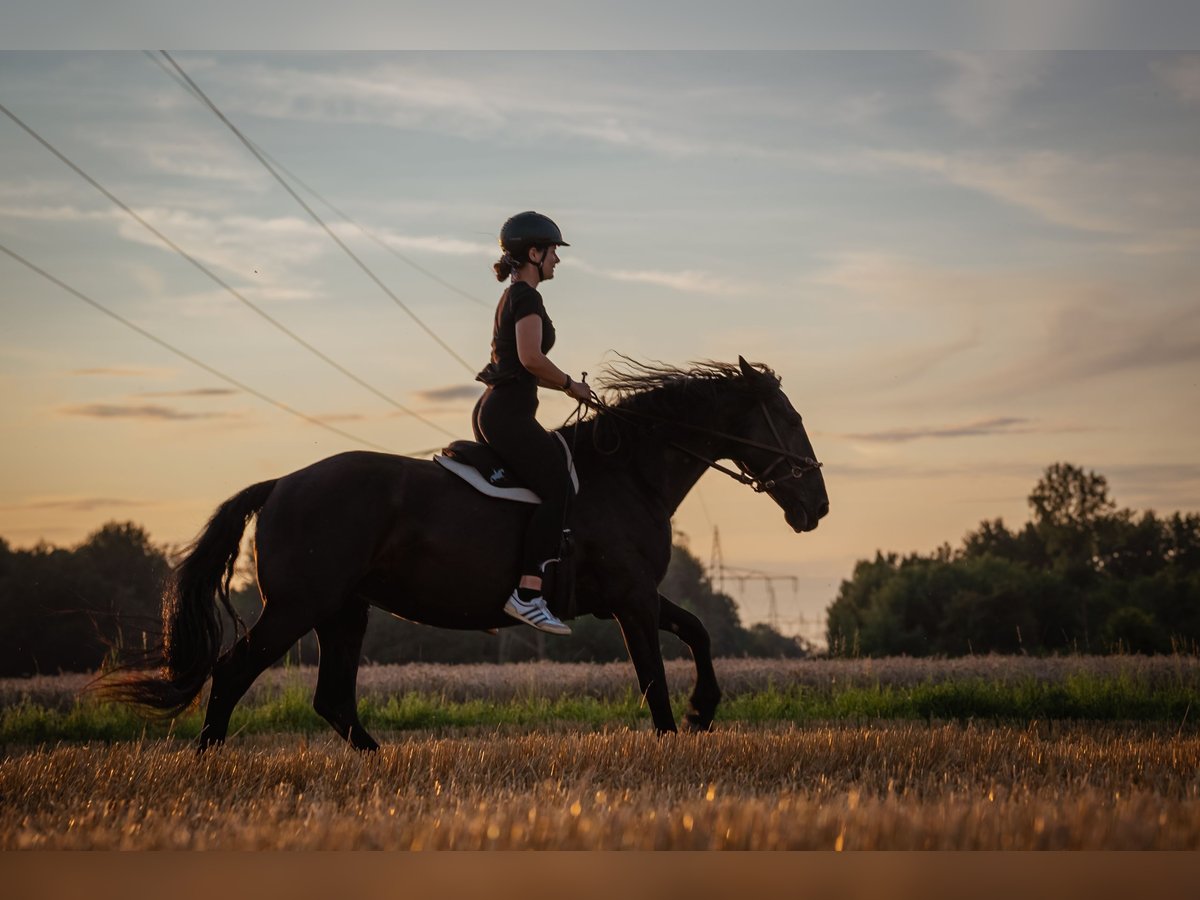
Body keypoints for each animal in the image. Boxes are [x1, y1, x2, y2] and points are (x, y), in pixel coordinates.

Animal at [108, 355, 830, 748]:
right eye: (792, 420)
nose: (818, 507)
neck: (629, 474)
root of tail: (281, 484)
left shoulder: (632, 597)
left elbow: (700, 631)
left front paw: (704, 711)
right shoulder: (631, 600)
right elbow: (654, 677)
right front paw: (679, 735)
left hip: (344, 611)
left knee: (332, 699)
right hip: (298, 607)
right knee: (234, 673)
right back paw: (207, 764)